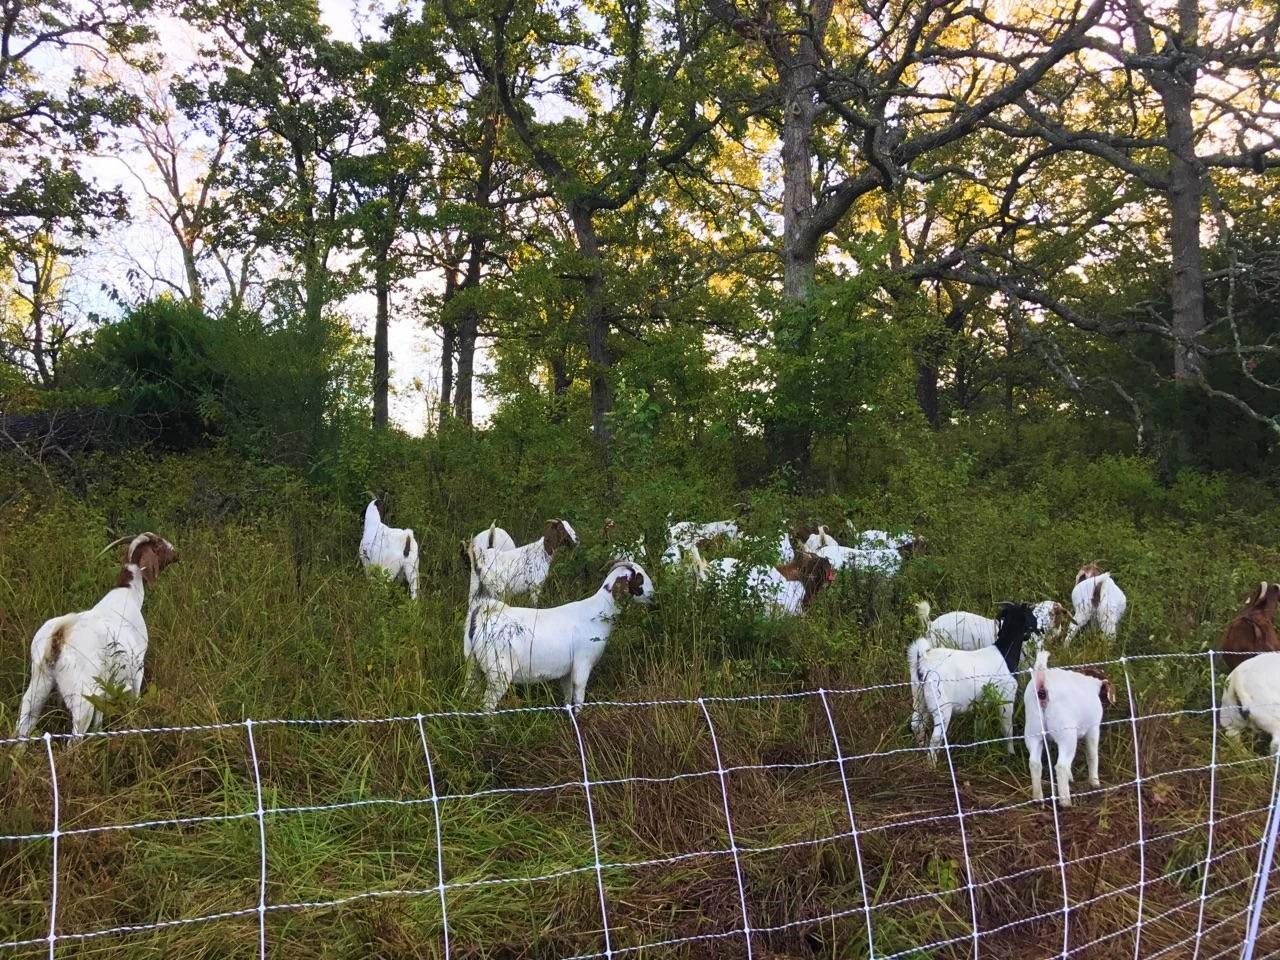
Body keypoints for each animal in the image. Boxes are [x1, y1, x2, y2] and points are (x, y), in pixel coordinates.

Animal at [17, 533, 179, 737]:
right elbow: (134, 699)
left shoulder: (103, 684)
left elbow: (100, 715)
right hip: (81, 696)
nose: (176, 554)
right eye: (158, 544)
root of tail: (59, 634)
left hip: (39, 682)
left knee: (25, 722)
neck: (129, 594)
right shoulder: (137, 667)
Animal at [463, 551, 654, 710]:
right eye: (639, 577)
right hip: (498, 672)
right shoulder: (582, 665)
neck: (597, 613)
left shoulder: (566, 671)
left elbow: (567, 697)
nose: (653, 595)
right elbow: (578, 698)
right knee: (487, 705)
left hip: (473, 665)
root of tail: (482, 616)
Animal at [907, 602, 1041, 765]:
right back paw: (932, 765)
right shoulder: (1006, 698)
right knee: (936, 738)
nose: (1039, 627)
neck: (1005, 652)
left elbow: (980, 726)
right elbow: (1007, 729)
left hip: (919, 696)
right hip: (941, 705)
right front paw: (1011, 754)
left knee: (916, 724)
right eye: (1030, 613)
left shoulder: (980, 704)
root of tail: (923, 660)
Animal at [1023, 650, 1115, 806]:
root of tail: (1042, 683)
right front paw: (1095, 782)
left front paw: (1071, 777)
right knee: (1061, 766)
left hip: (1033, 732)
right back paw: (1065, 802)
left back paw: (1038, 798)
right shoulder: (1093, 728)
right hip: (1066, 735)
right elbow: (1092, 754)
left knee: (1035, 763)